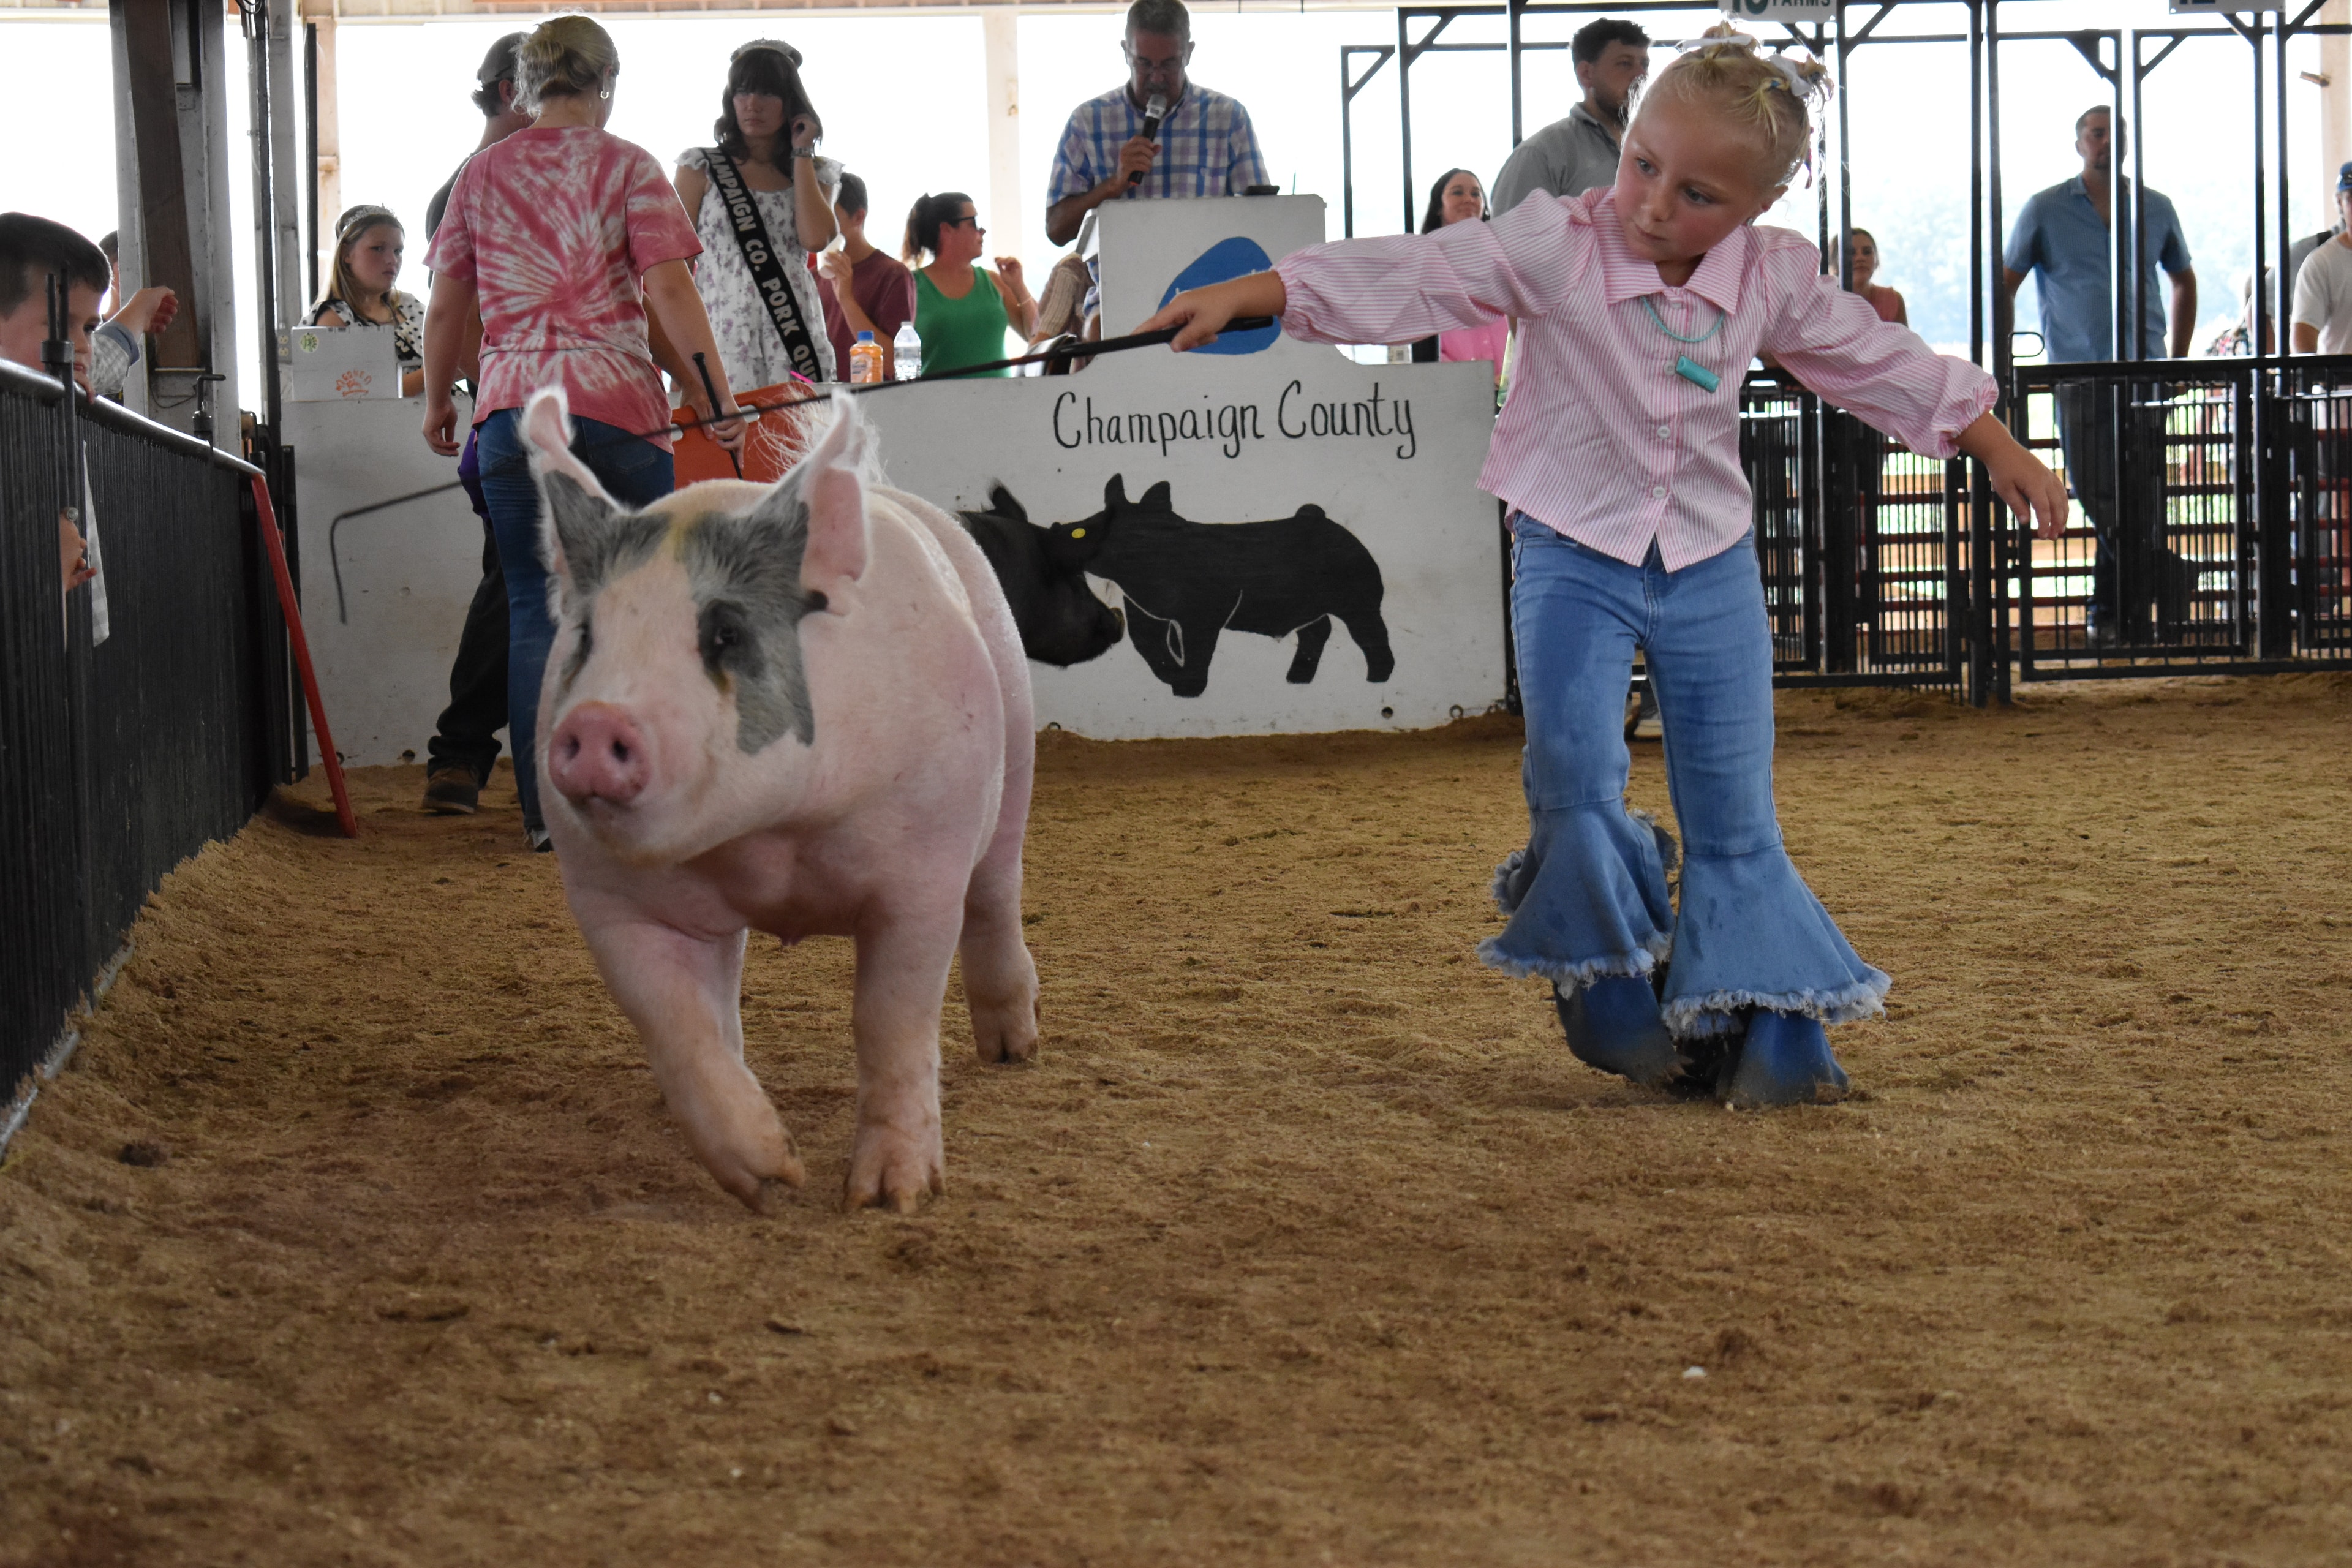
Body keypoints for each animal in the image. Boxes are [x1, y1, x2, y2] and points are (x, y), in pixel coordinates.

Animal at [521, 386, 1040, 1213]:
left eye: (726, 632)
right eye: (586, 637)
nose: (596, 722)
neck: (769, 841)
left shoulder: (921, 876)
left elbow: (891, 1021)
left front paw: (886, 1200)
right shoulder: (608, 899)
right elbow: (677, 1026)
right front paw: (772, 1175)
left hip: (1013, 742)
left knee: (996, 893)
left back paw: (1013, 1051)